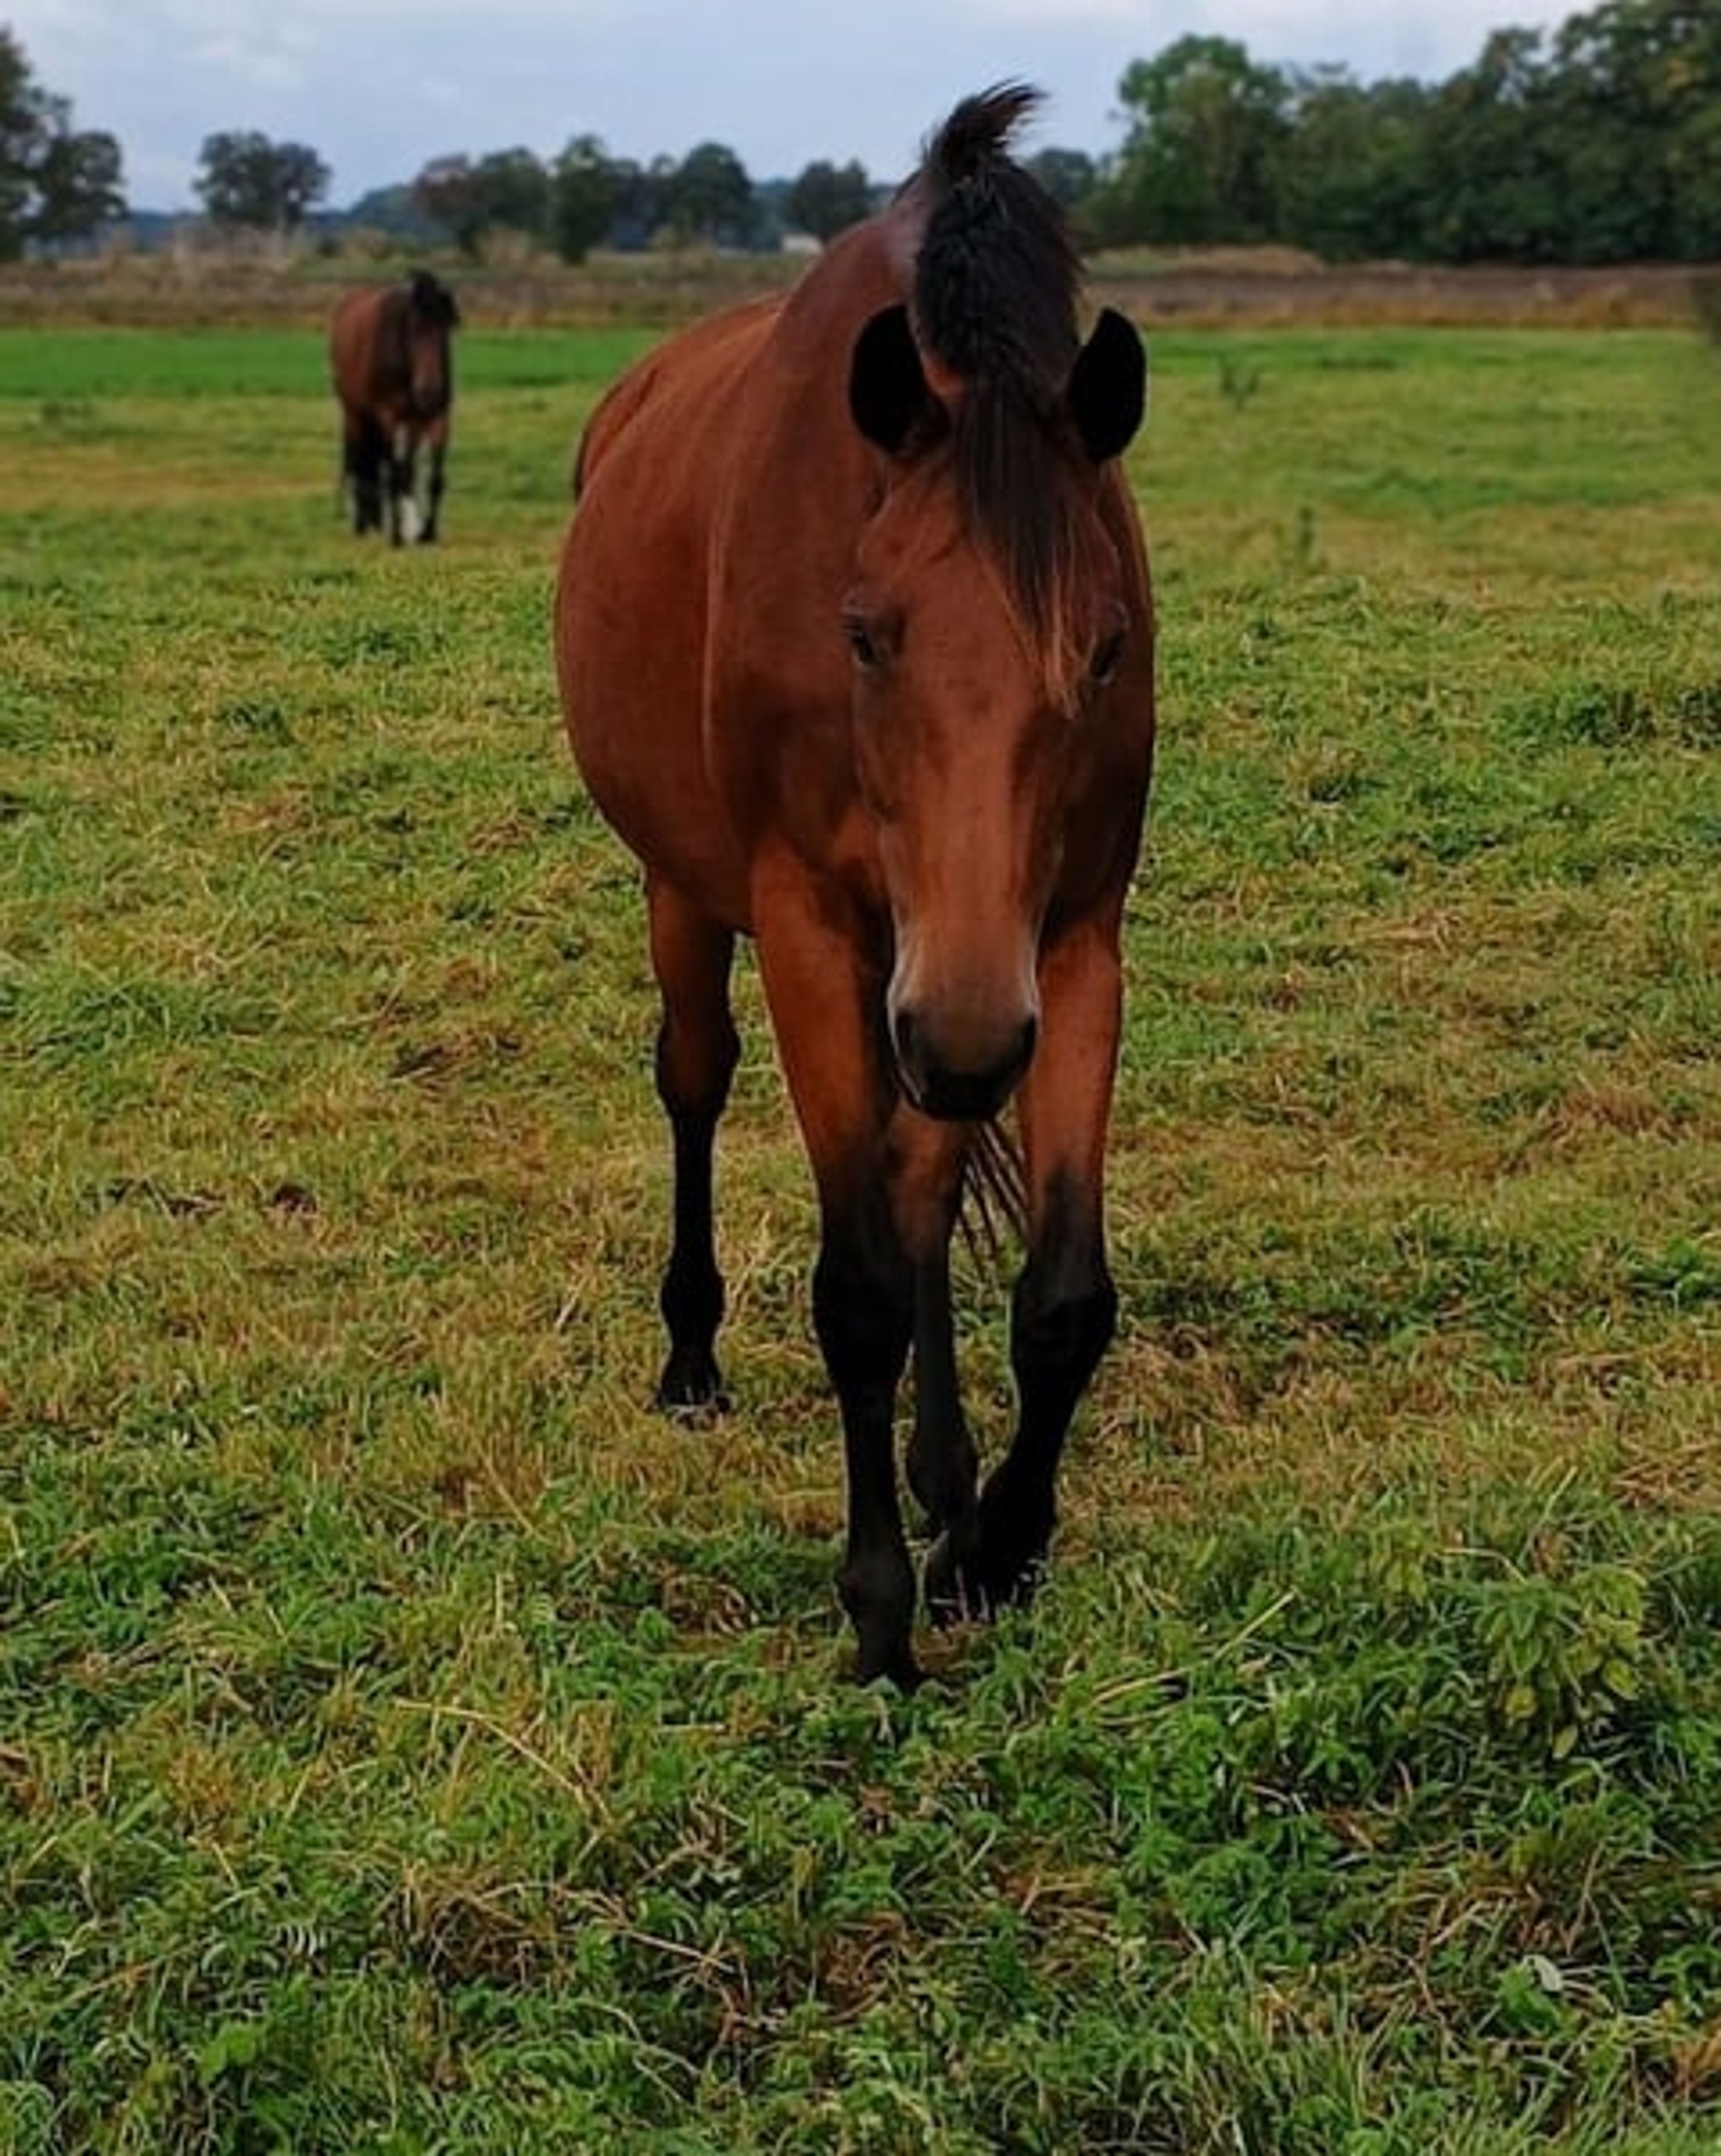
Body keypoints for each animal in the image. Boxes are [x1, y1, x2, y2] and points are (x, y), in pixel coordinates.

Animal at [329, 270, 460, 544]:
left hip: (407, 422)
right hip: (355, 414)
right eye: (413, 331)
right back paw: (362, 526)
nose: (430, 392)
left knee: (400, 468)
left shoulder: (436, 419)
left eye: (446, 329)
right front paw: (398, 536)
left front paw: (428, 533)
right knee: (360, 464)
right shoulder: (388, 418)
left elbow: (434, 478)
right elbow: (393, 476)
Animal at [554, 86, 1156, 1687]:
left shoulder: (1066, 943)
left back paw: (946, 1479)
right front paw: (881, 1610)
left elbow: (1054, 1292)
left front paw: (993, 1548)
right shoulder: (820, 939)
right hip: (695, 899)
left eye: (1104, 649)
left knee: (923, 1180)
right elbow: (859, 1291)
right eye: (865, 634)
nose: (965, 1031)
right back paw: (691, 1361)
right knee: (696, 1080)